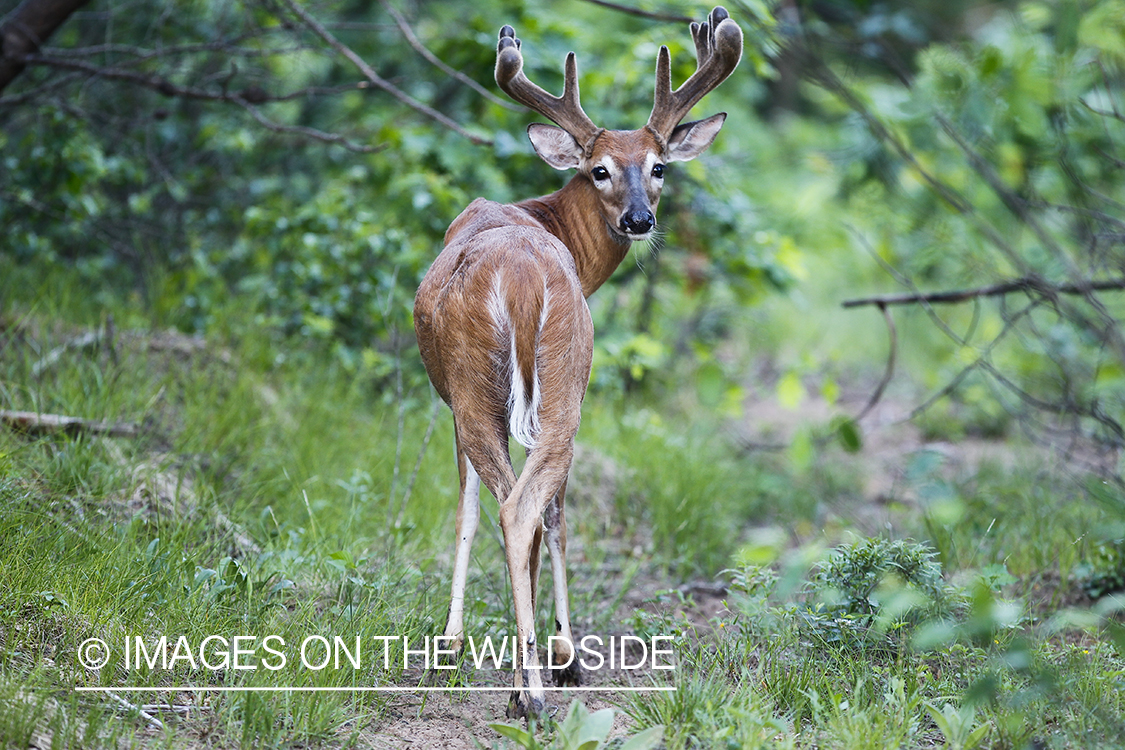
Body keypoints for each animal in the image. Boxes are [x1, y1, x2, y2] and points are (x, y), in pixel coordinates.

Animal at [411, 7, 738, 719]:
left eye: (659, 166)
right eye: (601, 170)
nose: (640, 219)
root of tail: (521, 280)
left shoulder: (458, 404)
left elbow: (478, 510)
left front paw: (462, 646)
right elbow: (530, 514)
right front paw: (548, 651)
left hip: (491, 389)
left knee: (517, 508)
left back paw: (526, 684)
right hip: (558, 381)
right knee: (528, 509)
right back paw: (534, 684)